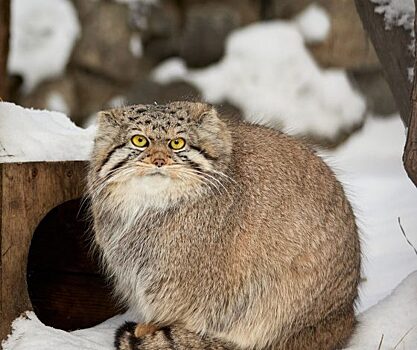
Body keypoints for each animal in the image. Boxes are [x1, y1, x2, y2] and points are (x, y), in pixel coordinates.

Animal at [86, 101, 360, 350]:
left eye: (177, 143)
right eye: (139, 141)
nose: (159, 161)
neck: (150, 206)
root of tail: (344, 318)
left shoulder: (183, 281)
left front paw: (150, 330)